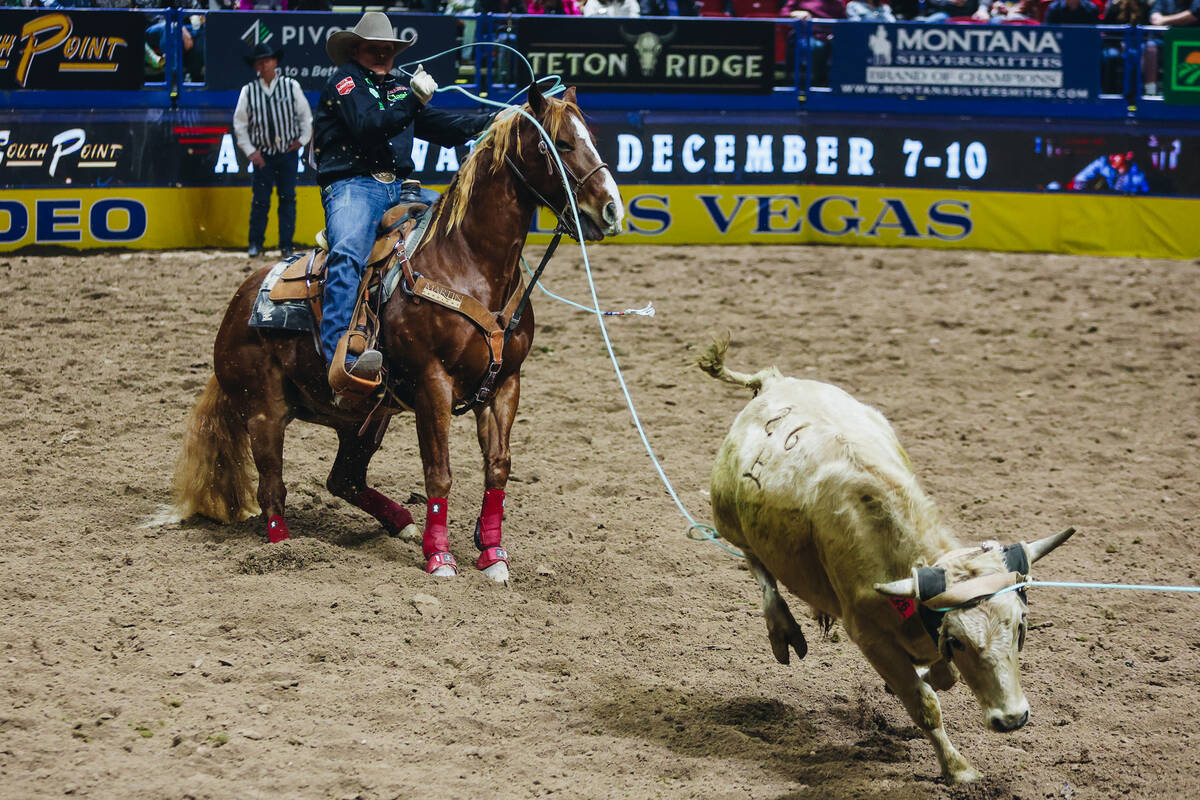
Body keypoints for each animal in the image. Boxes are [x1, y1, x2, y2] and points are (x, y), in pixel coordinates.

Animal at [174, 82, 624, 582]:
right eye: (560, 144)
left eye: (591, 140)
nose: (611, 209)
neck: (469, 264)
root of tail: (240, 301)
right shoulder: (433, 383)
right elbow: (439, 472)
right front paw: (440, 556)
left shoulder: (505, 384)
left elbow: (498, 469)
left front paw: (492, 554)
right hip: (263, 410)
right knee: (273, 488)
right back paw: (283, 549)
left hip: (362, 417)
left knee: (344, 479)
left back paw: (401, 522)